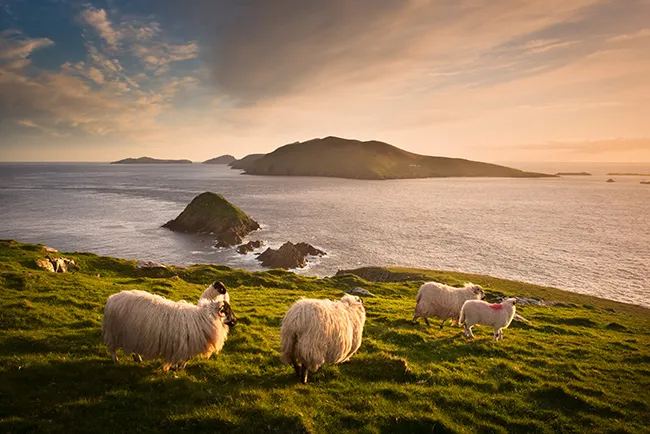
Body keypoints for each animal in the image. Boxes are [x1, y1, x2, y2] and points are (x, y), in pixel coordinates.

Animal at [102, 290, 237, 371]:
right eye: (227, 311)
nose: (236, 321)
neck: (203, 318)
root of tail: (112, 298)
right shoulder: (183, 345)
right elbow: (186, 358)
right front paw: (178, 367)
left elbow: (186, 358)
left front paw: (177, 367)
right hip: (114, 332)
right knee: (113, 349)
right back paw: (116, 360)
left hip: (133, 334)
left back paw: (138, 358)